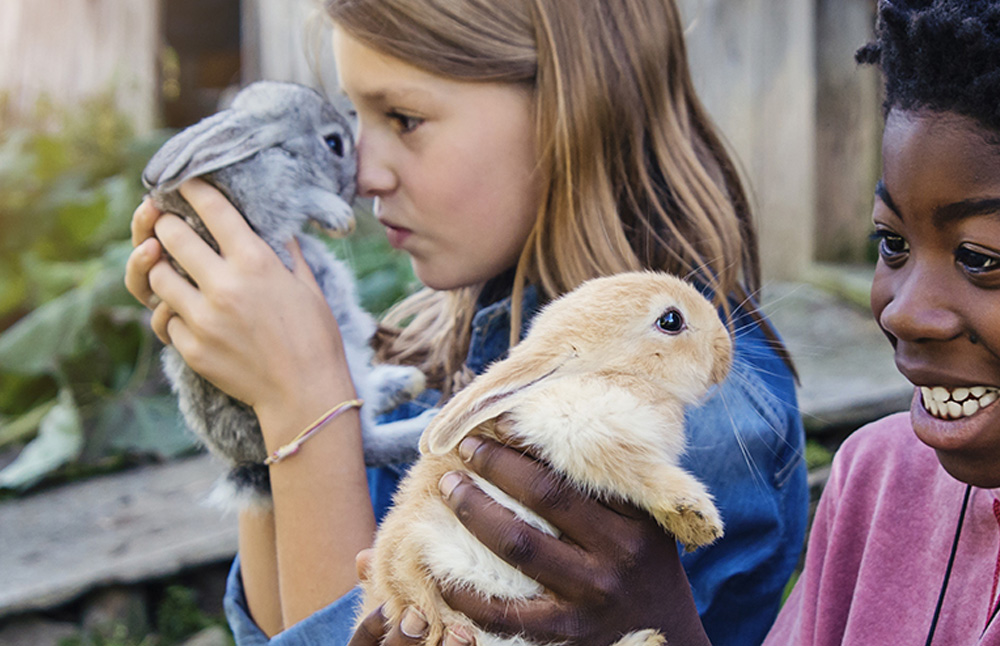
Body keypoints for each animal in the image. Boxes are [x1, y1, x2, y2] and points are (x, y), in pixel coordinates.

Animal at [144, 81, 430, 508]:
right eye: (334, 143)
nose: (352, 188)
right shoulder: (264, 191)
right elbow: (300, 194)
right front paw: (337, 215)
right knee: (364, 443)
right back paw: (425, 422)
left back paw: (404, 381)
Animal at [360, 270, 736, 646]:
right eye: (671, 321)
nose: (726, 348)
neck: (615, 375)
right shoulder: (582, 435)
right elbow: (642, 474)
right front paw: (699, 520)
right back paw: (643, 639)